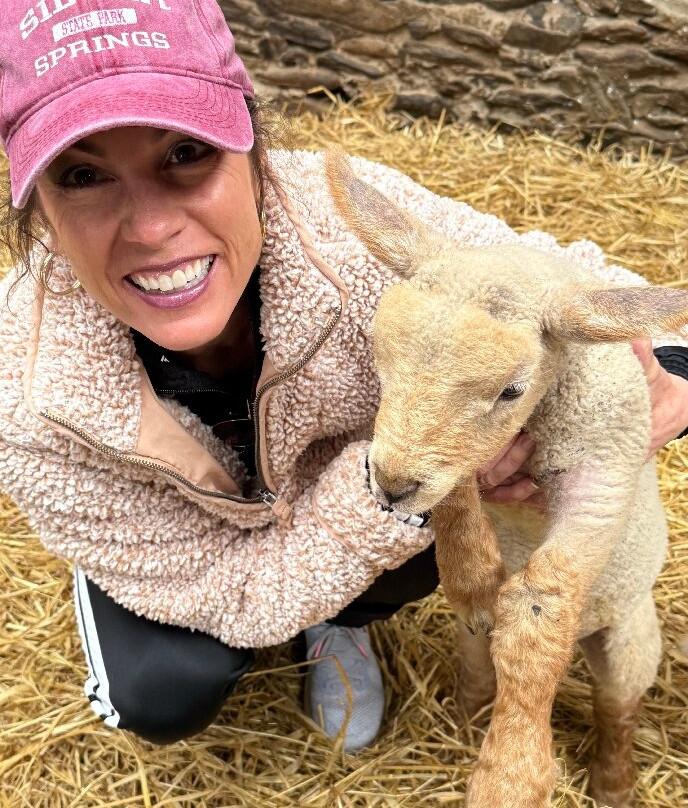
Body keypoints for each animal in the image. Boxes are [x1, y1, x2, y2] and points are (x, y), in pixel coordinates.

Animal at [325, 148, 688, 808]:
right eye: (378, 358)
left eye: (511, 390)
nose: (389, 487)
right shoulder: (444, 459)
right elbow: (454, 498)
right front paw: (471, 576)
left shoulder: (604, 474)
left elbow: (538, 606)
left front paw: (511, 774)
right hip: (477, 641)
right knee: (480, 660)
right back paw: (465, 716)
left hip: (631, 636)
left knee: (617, 708)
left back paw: (613, 782)